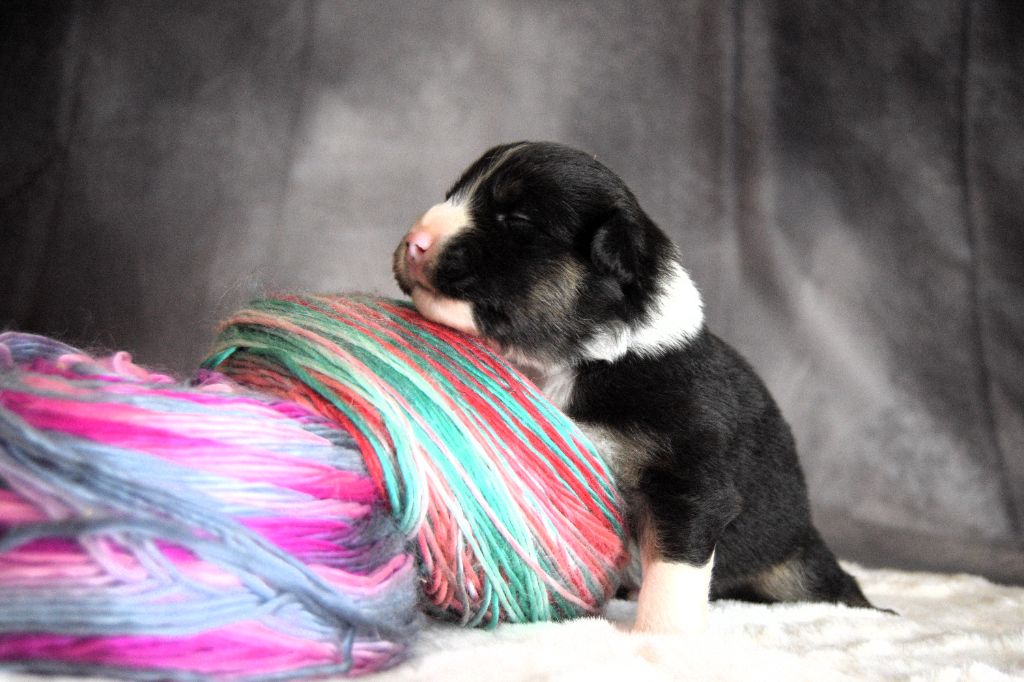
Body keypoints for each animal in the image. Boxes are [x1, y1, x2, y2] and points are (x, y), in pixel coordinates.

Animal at [392, 141, 877, 632]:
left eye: (519, 220)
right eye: (454, 194)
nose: (416, 241)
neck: (577, 361)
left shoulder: (688, 479)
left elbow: (673, 568)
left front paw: (661, 635)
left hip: (794, 565)